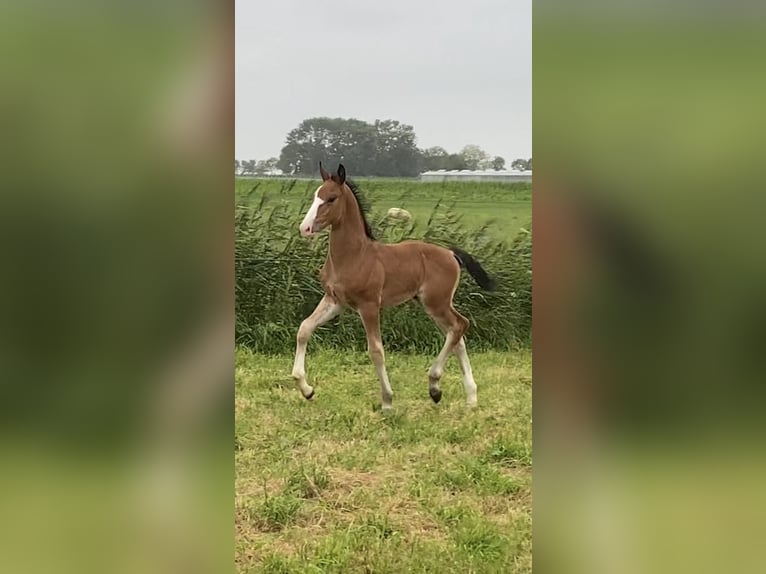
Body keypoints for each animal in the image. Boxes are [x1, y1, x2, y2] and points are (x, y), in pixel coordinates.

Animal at [290, 164, 498, 412]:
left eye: (331, 198)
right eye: (315, 195)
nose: (305, 228)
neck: (355, 256)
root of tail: (450, 253)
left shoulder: (369, 305)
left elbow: (376, 350)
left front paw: (387, 401)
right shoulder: (335, 301)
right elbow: (304, 329)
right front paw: (306, 389)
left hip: (436, 303)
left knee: (460, 326)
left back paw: (435, 385)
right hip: (432, 304)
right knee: (457, 336)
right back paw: (468, 397)